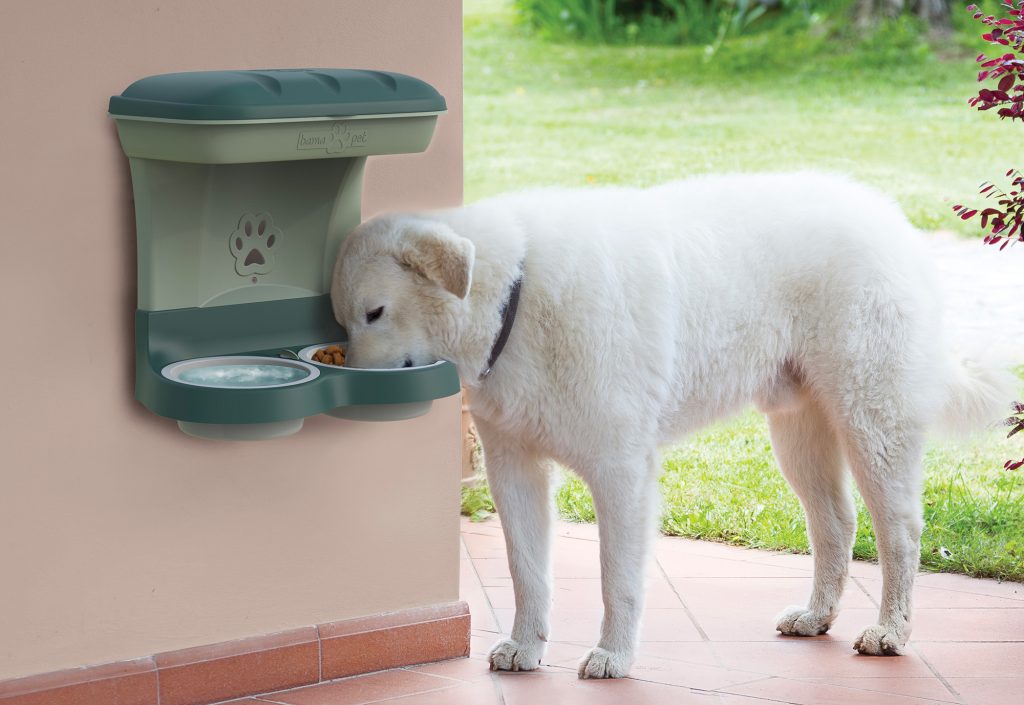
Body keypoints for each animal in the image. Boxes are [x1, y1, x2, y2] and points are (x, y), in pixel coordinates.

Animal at [331, 171, 1011, 676]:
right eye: (342, 320)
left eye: (375, 313)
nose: (351, 385)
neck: (514, 299)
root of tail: (890, 217)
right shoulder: (514, 469)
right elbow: (527, 571)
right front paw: (526, 647)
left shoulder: (620, 472)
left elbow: (617, 578)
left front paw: (613, 655)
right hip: (798, 434)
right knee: (836, 525)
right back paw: (817, 617)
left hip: (873, 425)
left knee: (900, 532)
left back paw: (890, 630)